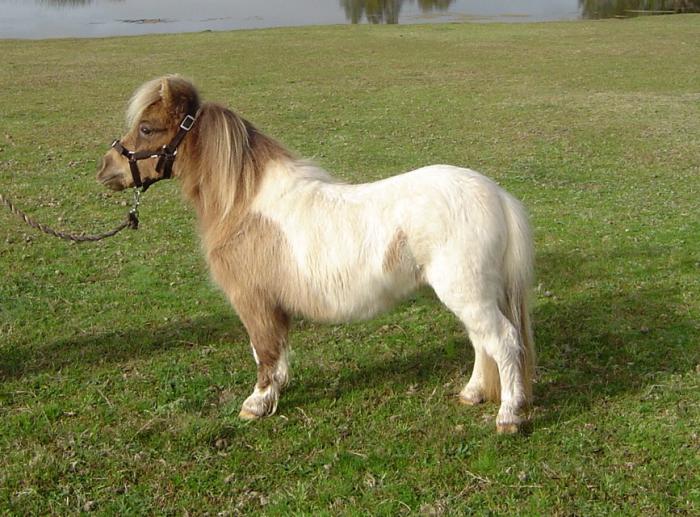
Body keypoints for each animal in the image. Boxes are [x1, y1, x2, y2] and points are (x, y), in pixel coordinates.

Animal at [97, 75, 535, 434]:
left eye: (147, 128)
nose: (105, 169)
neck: (245, 206)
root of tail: (497, 195)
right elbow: (273, 353)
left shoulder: (254, 302)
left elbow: (265, 352)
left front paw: (257, 403)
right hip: (470, 295)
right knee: (481, 342)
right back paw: (472, 393)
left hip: (467, 293)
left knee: (503, 342)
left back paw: (508, 416)